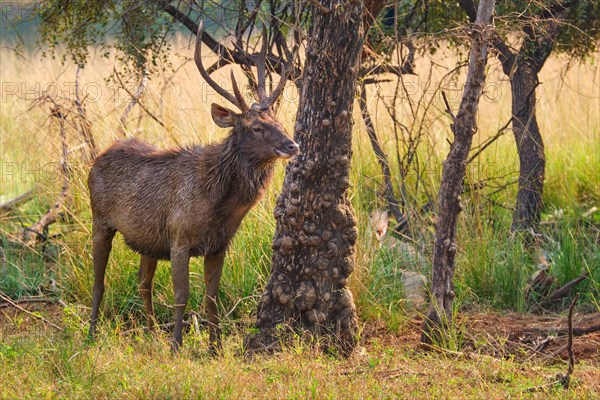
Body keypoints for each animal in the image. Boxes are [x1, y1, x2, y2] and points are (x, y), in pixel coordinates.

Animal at [86, 22, 298, 354]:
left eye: (277, 120)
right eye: (256, 127)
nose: (292, 145)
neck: (218, 206)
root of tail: (97, 159)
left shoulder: (219, 244)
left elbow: (212, 297)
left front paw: (215, 347)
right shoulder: (180, 237)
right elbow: (181, 296)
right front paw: (177, 346)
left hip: (148, 240)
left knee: (143, 282)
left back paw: (151, 333)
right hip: (100, 220)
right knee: (98, 280)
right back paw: (92, 333)